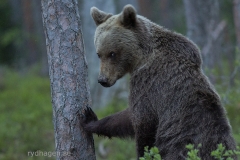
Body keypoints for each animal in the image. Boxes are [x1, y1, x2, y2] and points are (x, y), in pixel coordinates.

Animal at [82, 4, 236, 159]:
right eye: (99, 54)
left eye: (112, 53)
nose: (103, 80)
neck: (141, 59)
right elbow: (129, 118)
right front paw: (92, 119)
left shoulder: (147, 83)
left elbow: (141, 122)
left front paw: (90, 119)